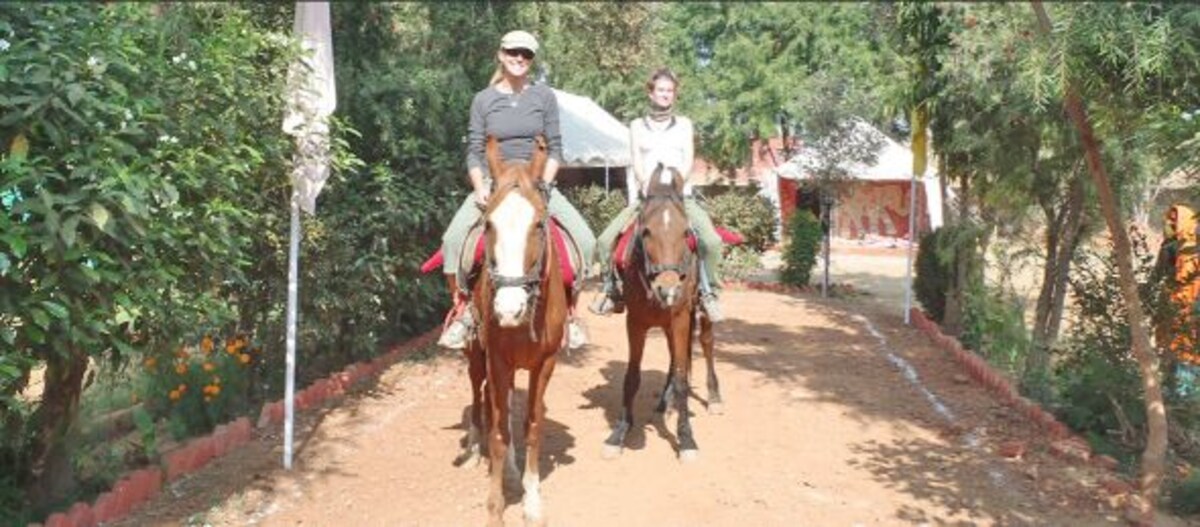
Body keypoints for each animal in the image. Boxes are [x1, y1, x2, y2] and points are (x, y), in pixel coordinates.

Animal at [462, 134, 568, 527]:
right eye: (489, 224)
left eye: (538, 224)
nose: (509, 310)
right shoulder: (497, 359)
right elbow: (499, 432)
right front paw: (495, 507)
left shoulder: (545, 363)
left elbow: (532, 427)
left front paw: (531, 499)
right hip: (476, 355)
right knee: (481, 395)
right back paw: (476, 449)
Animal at [602, 164, 721, 462]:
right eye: (645, 232)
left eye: (685, 233)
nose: (668, 289)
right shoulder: (635, 322)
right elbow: (632, 376)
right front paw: (619, 433)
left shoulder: (679, 319)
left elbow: (681, 380)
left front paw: (686, 439)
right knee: (674, 357)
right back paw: (664, 404)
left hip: (699, 314)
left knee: (706, 344)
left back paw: (714, 397)